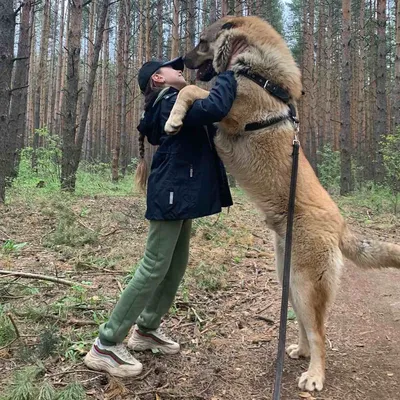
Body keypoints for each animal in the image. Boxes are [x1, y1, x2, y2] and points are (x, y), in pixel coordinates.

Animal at [164, 14, 400, 390]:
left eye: (201, 42)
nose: (181, 61)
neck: (258, 71)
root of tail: (342, 227)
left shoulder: (226, 108)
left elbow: (190, 91)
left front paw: (173, 118)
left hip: (305, 284)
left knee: (319, 333)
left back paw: (315, 376)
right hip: (288, 279)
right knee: (304, 325)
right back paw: (300, 353)